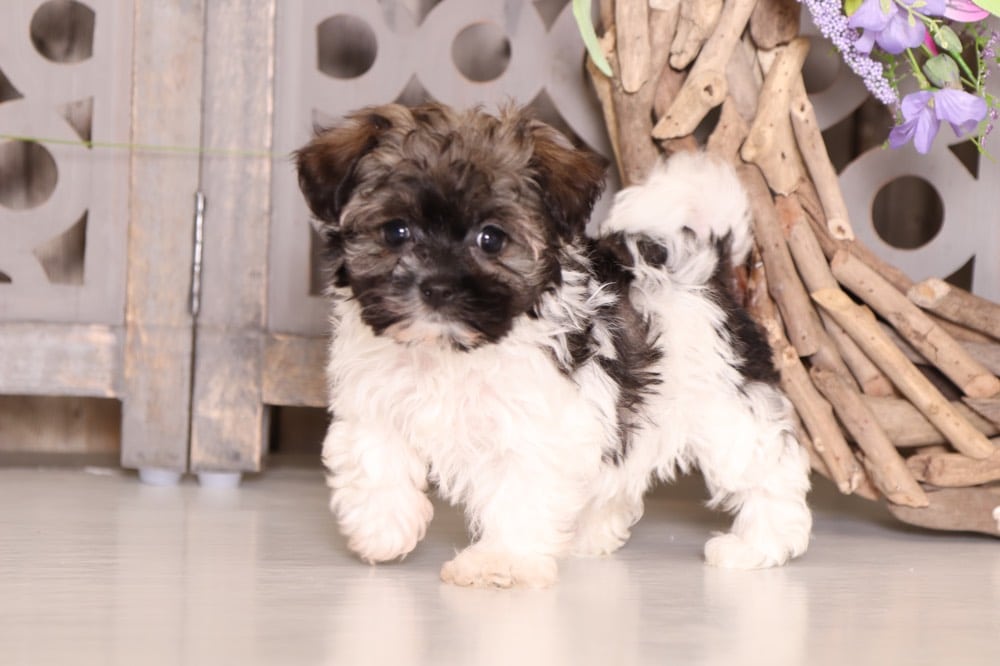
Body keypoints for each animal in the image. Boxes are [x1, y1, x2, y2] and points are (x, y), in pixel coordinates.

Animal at [296, 102, 812, 588]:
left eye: (491, 238)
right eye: (396, 231)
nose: (437, 288)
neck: (449, 352)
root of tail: (706, 266)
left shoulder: (533, 423)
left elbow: (516, 489)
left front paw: (500, 562)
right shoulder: (374, 398)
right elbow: (373, 459)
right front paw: (381, 530)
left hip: (724, 405)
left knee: (766, 469)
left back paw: (759, 544)